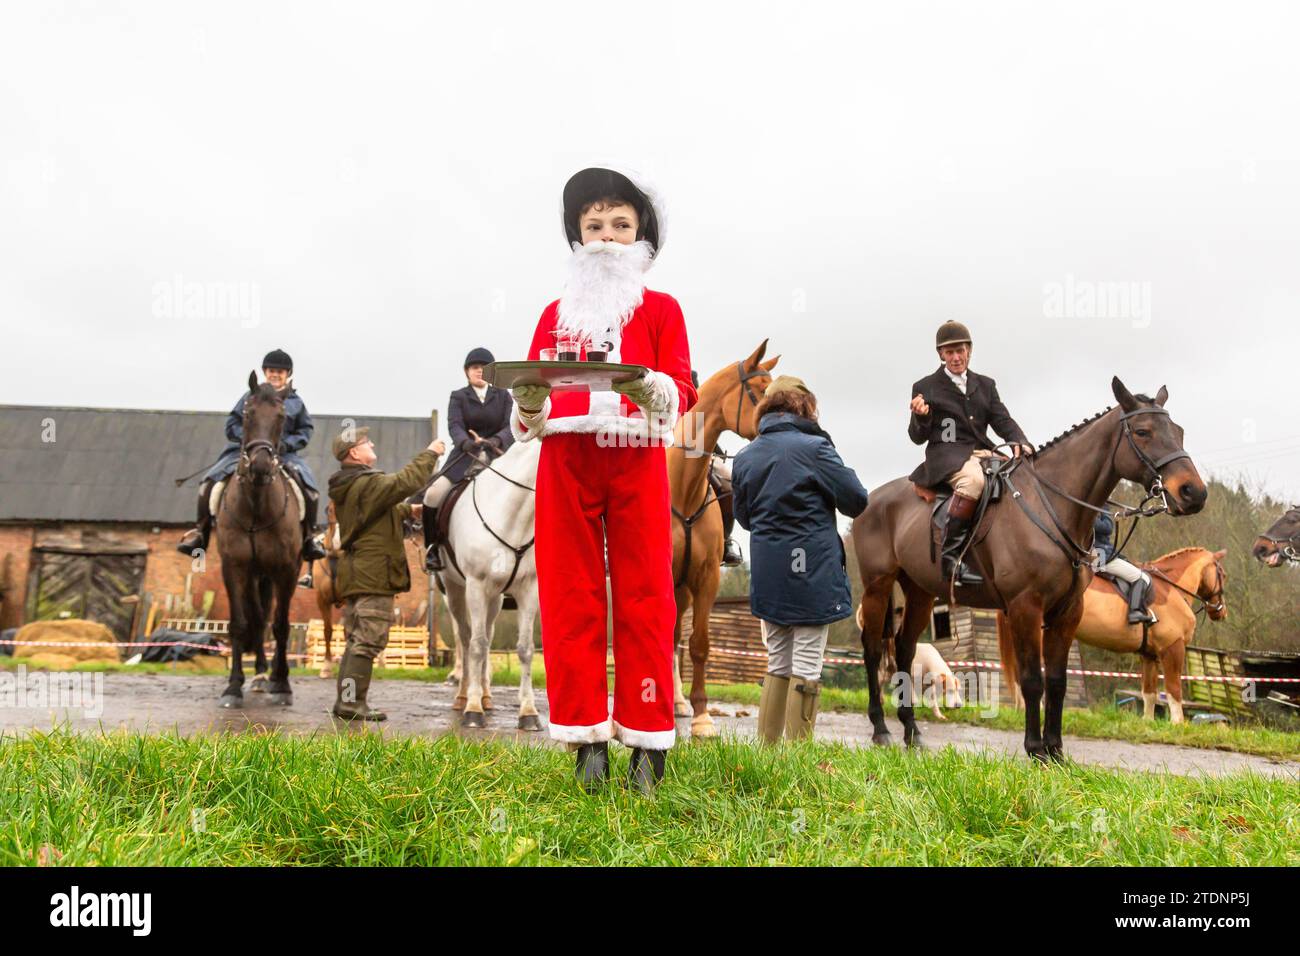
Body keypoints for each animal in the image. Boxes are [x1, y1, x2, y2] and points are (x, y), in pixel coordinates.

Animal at [215, 374, 304, 712]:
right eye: (248, 413)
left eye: (281, 416)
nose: (261, 467)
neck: (255, 504)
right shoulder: (234, 567)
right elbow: (240, 623)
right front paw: (232, 687)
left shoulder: (287, 570)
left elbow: (281, 625)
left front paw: (282, 684)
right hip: (255, 575)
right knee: (257, 616)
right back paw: (259, 674)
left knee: (268, 619)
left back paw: (271, 675)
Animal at [423, 437, 540, 728]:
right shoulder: (476, 586)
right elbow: (475, 646)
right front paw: (473, 710)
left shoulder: (528, 590)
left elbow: (525, 649)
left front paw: (528, 712)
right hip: (455, 591)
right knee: (467, 639)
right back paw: (464, 696)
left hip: (495, 598)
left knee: (487, 635)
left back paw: (486, 696)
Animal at [998, 548, 1222, 723]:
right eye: (1223, 574)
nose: (1220, 612)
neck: (1171, 588)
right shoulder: (1172, 648)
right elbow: (1174, 690)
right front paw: (1178, 724)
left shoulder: (1149, 655)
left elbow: (1149, 693)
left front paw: (1148, 723)